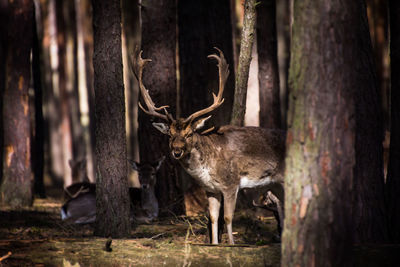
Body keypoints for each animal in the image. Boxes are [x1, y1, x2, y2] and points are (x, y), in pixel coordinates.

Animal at [134, 47, 284, 245]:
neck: (207, 168)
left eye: (189, 134)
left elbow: (227, 217)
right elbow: (213, 218)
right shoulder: (211, 190)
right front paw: (214, 244)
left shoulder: (231, 183)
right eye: (170, 135)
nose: (177, 151)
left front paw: (232, 245)